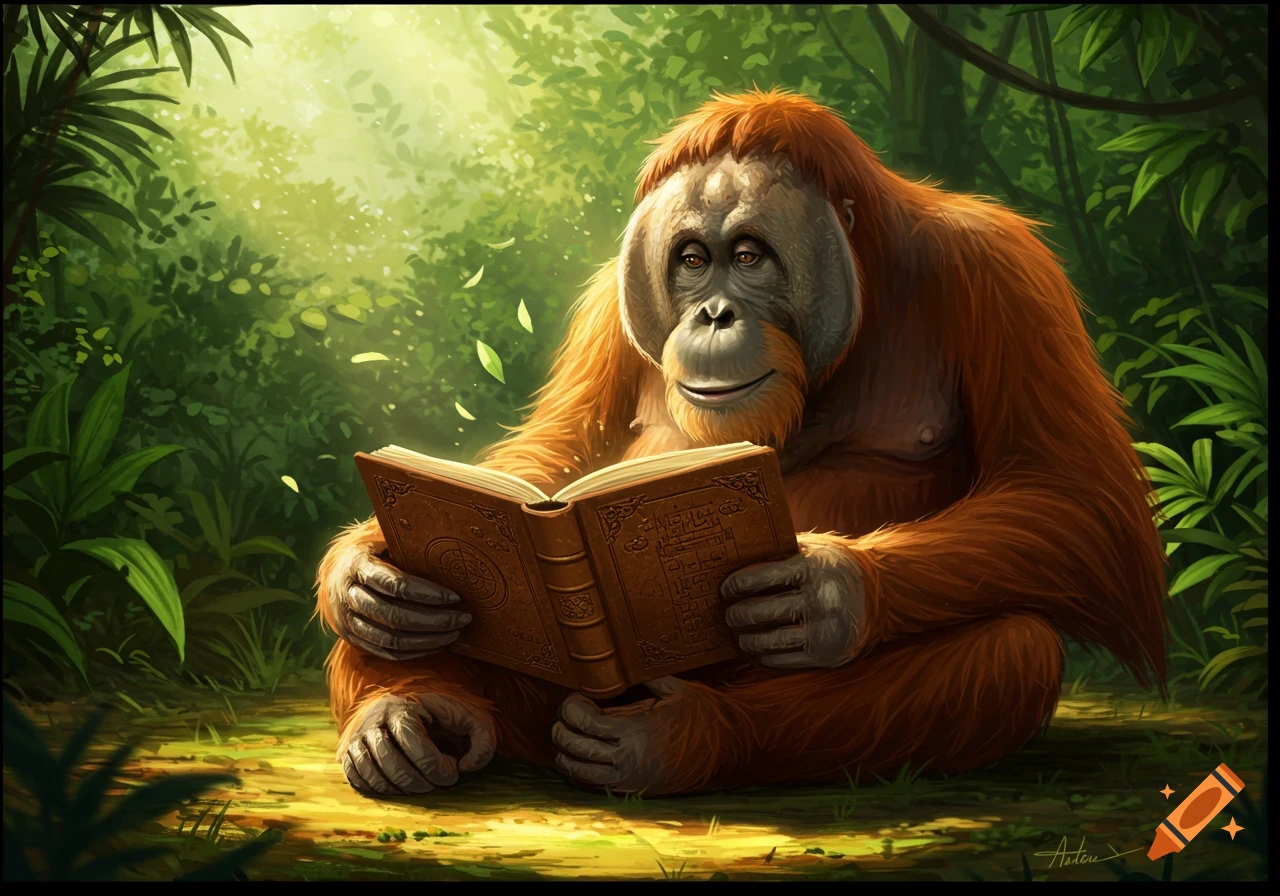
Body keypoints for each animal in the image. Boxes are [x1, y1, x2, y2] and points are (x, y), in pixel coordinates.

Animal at [316, 89, 1168, 798]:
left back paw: (673, 741)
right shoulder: (604, 311)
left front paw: (826, 592)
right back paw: (408, 718)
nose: (714, 314)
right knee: (415, 630)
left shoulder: (1003, 272)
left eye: (750, 255)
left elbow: (1076, 496)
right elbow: (557, 450)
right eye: (692, 260)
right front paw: (361, 571)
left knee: (1012, 649)